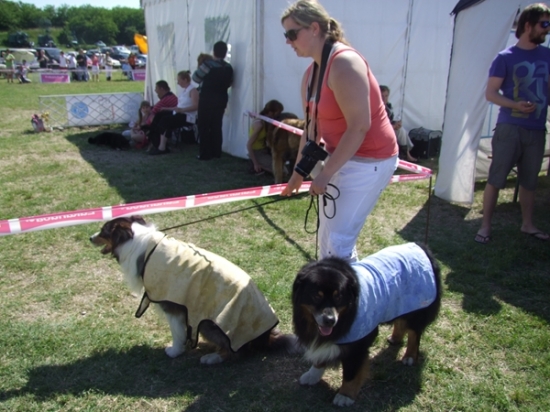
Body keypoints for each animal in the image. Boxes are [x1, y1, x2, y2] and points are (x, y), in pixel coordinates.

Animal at [90, 216, 299, 364]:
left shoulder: (172, 305)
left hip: (211, 324)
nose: (90, 237)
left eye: (103, 230)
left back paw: (211, 357)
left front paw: (174, 351)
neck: (135, 241)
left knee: (235, 353)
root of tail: (265, 337)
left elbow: (177, 332)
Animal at [291, 242, 441, 406]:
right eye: (316, 296)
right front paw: (313, 375)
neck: (346, 315)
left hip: (416, 309)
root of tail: (422, 247)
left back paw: (409, 357)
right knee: (400, 322)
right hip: (397, 304)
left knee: (415, 333)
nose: (330, 320)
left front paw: (345, 396)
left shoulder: (358, 346)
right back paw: (395, 338)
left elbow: (351, 374)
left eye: (339, 297)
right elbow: (320, 357)